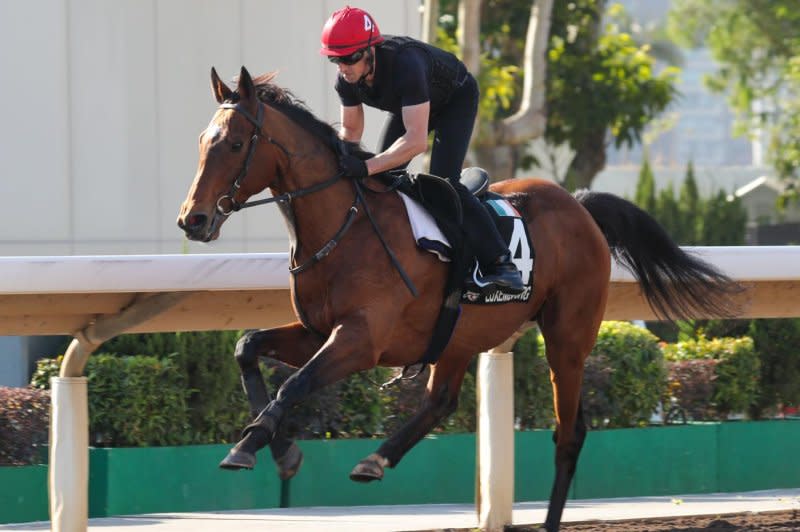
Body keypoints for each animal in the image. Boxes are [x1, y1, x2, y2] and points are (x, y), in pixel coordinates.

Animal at [177, 67, 736, 532]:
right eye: (202, 140)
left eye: (234, 143)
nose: (192, 220)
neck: (344, 225)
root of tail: (578, 205)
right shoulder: (317, 331)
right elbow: (247, 348)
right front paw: (277, 450)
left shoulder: (361, 340)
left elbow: (294, 383)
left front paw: (248, 446)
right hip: (462, 334)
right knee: (442, 401)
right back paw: (375, 459)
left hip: (568, 337)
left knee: (568, 434)